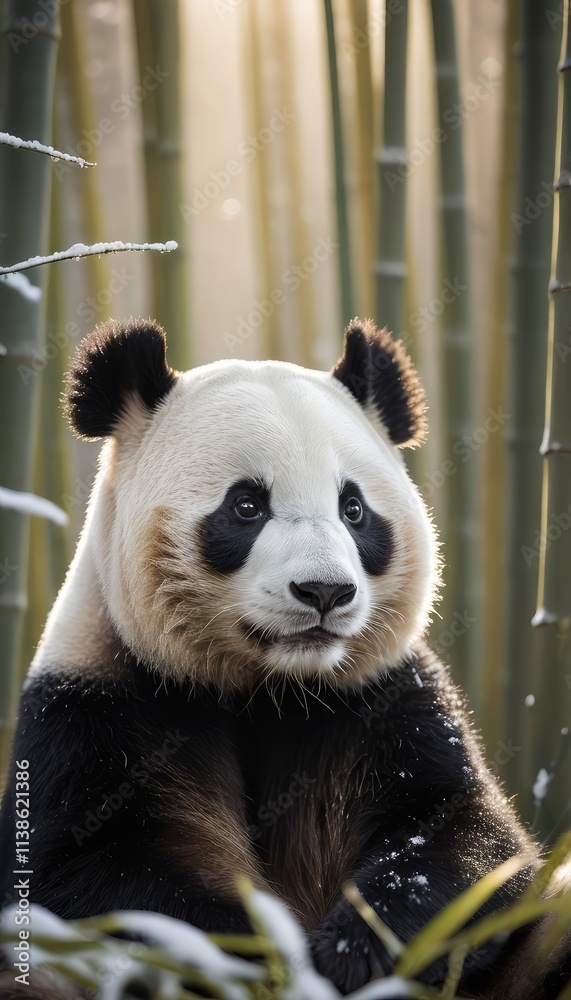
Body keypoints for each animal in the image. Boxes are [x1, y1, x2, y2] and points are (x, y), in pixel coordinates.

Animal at [0, 317, 568, 998]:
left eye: (354, 508)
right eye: (246, 505)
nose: (324, 591)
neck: (271, 685)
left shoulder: (381, 697)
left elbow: (463, 836)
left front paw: (352, 949)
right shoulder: (95, 706)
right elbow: (84, 875)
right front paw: (262, 953)